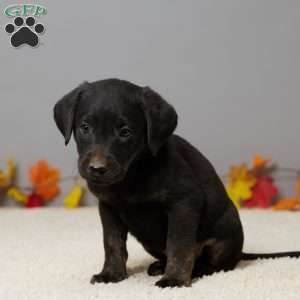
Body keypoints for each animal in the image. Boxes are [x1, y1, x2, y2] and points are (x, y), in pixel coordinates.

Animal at [54, 78, 300, 288]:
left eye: (125, 132)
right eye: (85, 127)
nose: (97, 169)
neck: (132, 175)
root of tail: (241, 252)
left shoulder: (184, 204)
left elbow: (179, 245)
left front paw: (175, 279)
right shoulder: (108, 207)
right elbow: (112, 243)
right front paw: (111, 274)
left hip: (223, 236)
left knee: (215, 264)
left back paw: (192, 270)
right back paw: (158, 265)